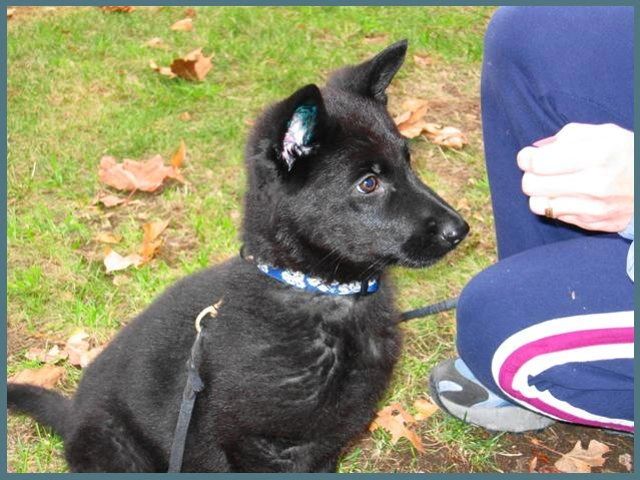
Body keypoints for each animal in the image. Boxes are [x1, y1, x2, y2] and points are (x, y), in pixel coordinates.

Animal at [7, 38, 468, 472]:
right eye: (368, 183)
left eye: (409, 161)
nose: (460, 230)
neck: (323, 295)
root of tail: (72, 416)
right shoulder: (255, 446)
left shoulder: (328, 443)